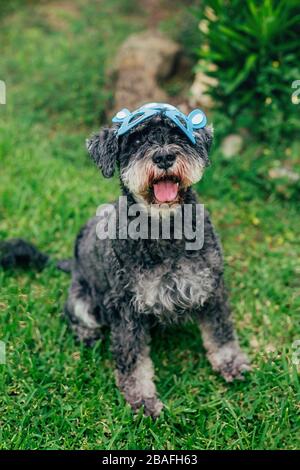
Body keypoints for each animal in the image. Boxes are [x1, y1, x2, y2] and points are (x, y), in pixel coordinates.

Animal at [1, 103, 251, 418]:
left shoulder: (210, 288)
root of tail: (73, 264)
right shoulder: (125, 308)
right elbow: (133, 360)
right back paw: (87, 335)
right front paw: (142, 400)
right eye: (136, 140)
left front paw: (231, 362)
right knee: (73, 315)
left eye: (178, 134)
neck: (164, 230)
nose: (164, 156)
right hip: (82, 299)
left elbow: (221, 331)